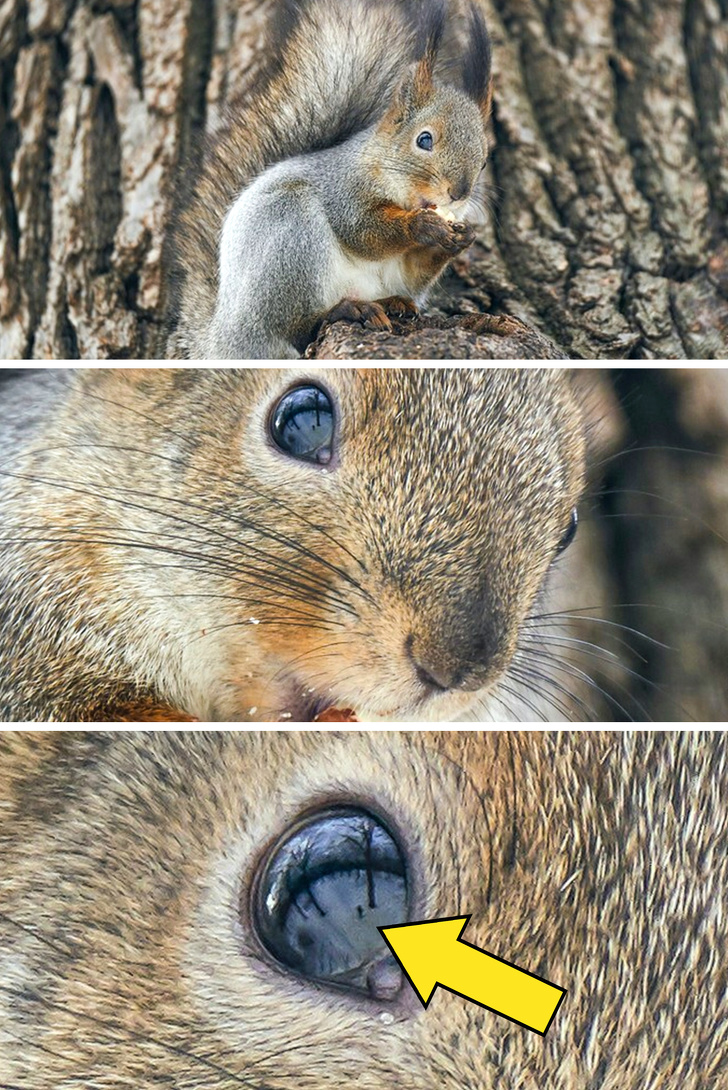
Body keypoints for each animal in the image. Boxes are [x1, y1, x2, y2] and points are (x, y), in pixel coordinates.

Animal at [167, 0, 492, 359]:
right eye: (424, 139)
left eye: (484, 160)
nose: (458, 192)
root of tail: (224, 339)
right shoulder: (343, 191)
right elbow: (362, 231)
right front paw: (421, 226)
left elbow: (415, 268)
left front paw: (464, 237)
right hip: (290, 236)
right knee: (297, 328)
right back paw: (346, 310)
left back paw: (391, 303)